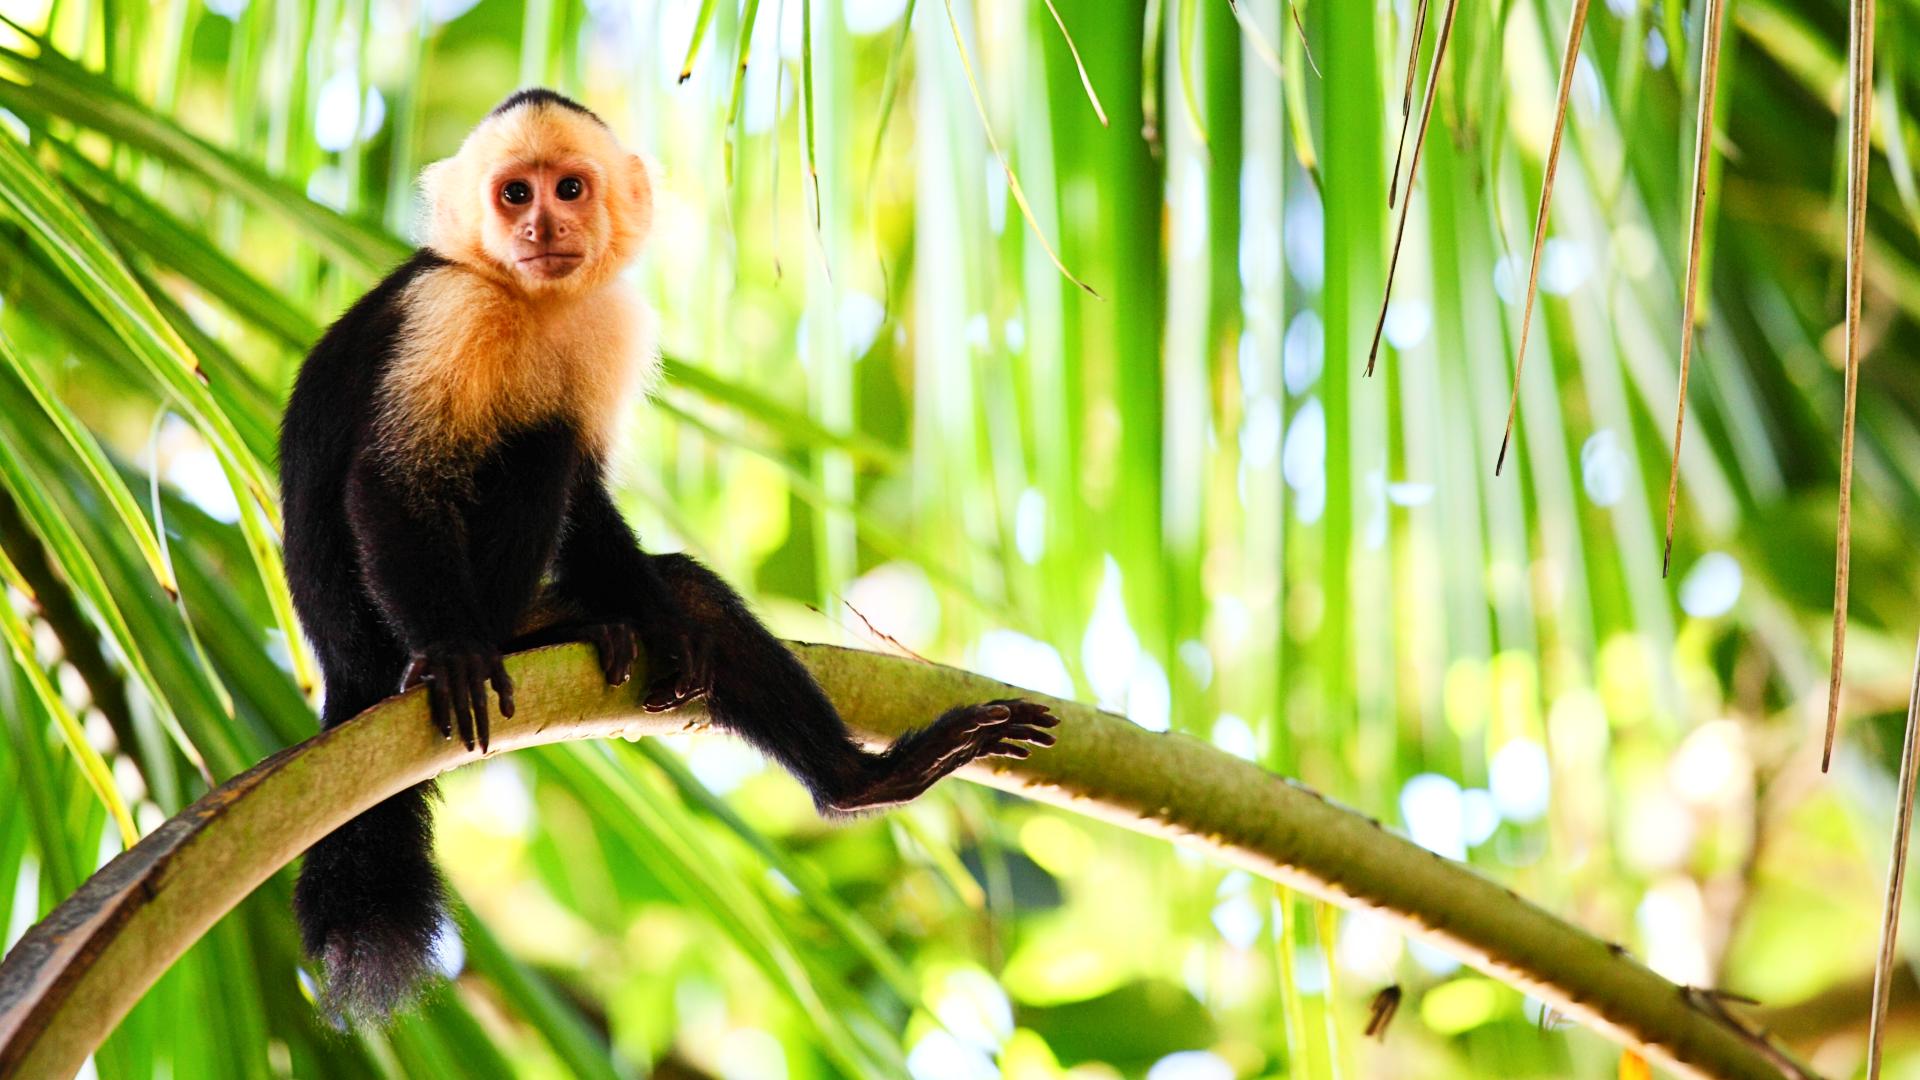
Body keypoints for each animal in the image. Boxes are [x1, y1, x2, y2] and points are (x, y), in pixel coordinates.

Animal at [279, 88, 1057, 1023]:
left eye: (569, 188)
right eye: (514, 194)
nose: (540, 226)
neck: (531, 302)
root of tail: (344, 676)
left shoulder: (609, 325)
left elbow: (590, 503)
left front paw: (659, 626)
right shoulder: (450, 308)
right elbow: (396, 481)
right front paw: (454, 650)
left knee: (684, 587)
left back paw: (851, 773)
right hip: (380, 633)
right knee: (534, 443)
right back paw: (493, 642)